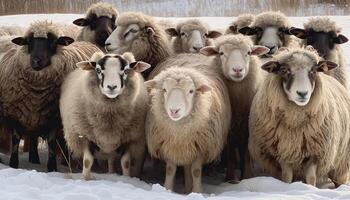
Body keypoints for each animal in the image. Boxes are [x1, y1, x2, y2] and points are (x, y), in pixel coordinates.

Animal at [0, 20, 100, 172]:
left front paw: (52, 168)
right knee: (33, 137)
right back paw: (34, 160)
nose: (36, 61)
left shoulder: (54, 117)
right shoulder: (16, 113)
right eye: (29, 42)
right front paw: (13, 164)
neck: (37, 90)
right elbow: (16, 141)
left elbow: (52, 144)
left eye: (52, 41)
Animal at [60, 51, 150, 180]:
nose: (112, 87)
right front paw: (86, 178)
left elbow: (125, 162)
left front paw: (126, 178)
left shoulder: (129, 139)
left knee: (111, 160)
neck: (109, 116)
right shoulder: (85, 136)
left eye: (126, 71)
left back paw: (111, 174)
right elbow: (87, 161)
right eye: (98, 70)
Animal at [144, 61, 231, 193]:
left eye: (191, 91)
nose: (174, 111)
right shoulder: (169, 145)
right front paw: (167, 189)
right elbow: (170, 170)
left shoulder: (201, 147)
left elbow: (196, 171)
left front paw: (197, 191)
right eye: (164, 89)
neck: (180, 133)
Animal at [198, 34, 270, 181]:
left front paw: (247, 175)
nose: (237, 70)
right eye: (221, 53)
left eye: (249, 52)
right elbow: (230, 150)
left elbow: (245, 150)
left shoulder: (248, 124)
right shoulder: (228, 126)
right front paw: (230, 178)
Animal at [249, 47, 350, 188]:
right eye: (284, 70)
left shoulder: (316, 153)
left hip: (341, 162)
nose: (302, 93)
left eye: (313, 71)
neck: (295, 120)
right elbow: (286, 177)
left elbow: (311, 178)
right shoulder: (283, 152)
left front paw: (310, 189)